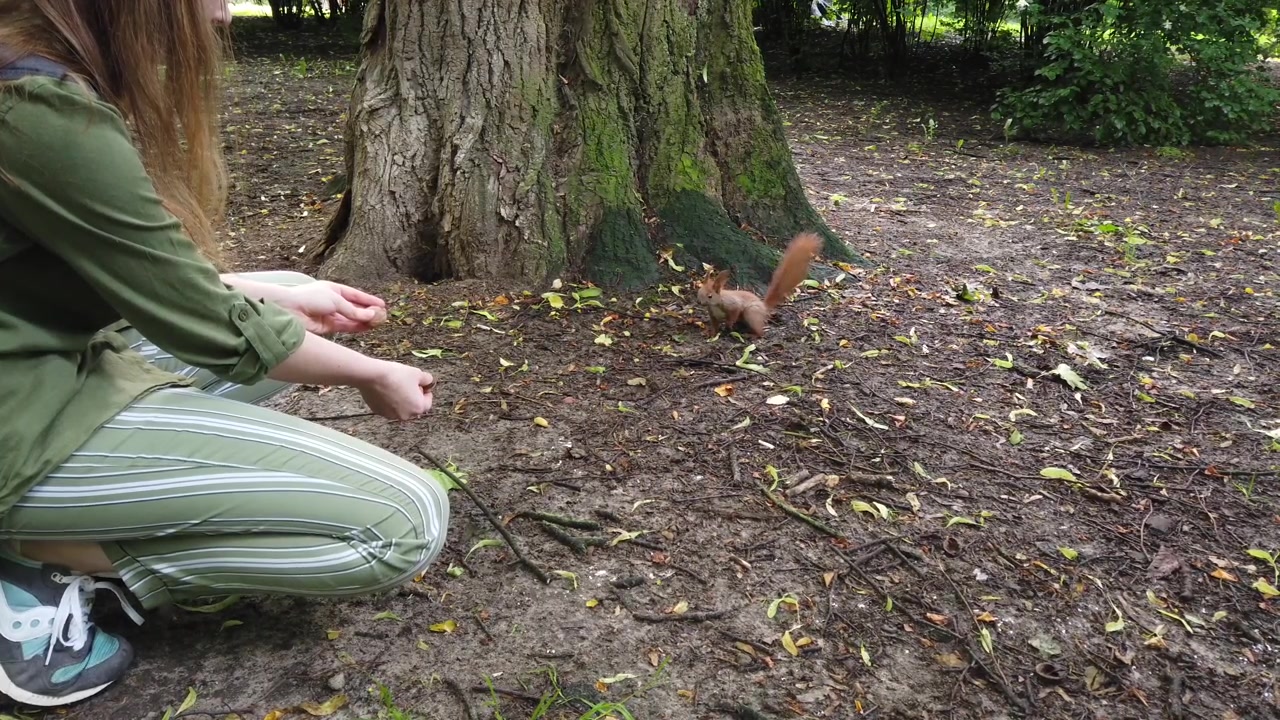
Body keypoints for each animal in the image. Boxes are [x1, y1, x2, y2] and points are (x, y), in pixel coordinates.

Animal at [694, 231, 822, 338]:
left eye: (710, 296)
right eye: (698, 293)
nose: (700, 302)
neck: (716, 304)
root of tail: (764, 307)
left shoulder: (732, 304)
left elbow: (734, 312)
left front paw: (729, 325)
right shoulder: (712, 314)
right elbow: (714, 325)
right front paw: (711, 333)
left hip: (751, 313)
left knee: (760, 332)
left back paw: (750, 335)